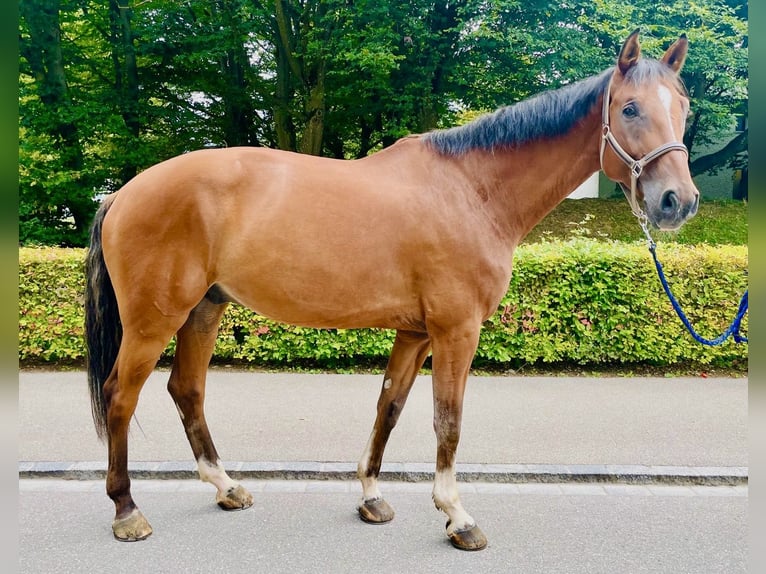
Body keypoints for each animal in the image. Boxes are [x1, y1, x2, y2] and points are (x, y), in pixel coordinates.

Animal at [85, 29, 704, 552]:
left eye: (683, 109)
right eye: (629, 108)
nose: (678, 201)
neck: (472, 190)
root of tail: (122, 193)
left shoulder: (416, 333)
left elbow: (390, 406)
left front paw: (372, 497)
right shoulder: (456, 330)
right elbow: (447, 419)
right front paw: (457, 516)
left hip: (203, 310)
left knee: (186, 390)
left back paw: (225, 486)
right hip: (153, 320)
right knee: (120, 396)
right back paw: (126, 510)